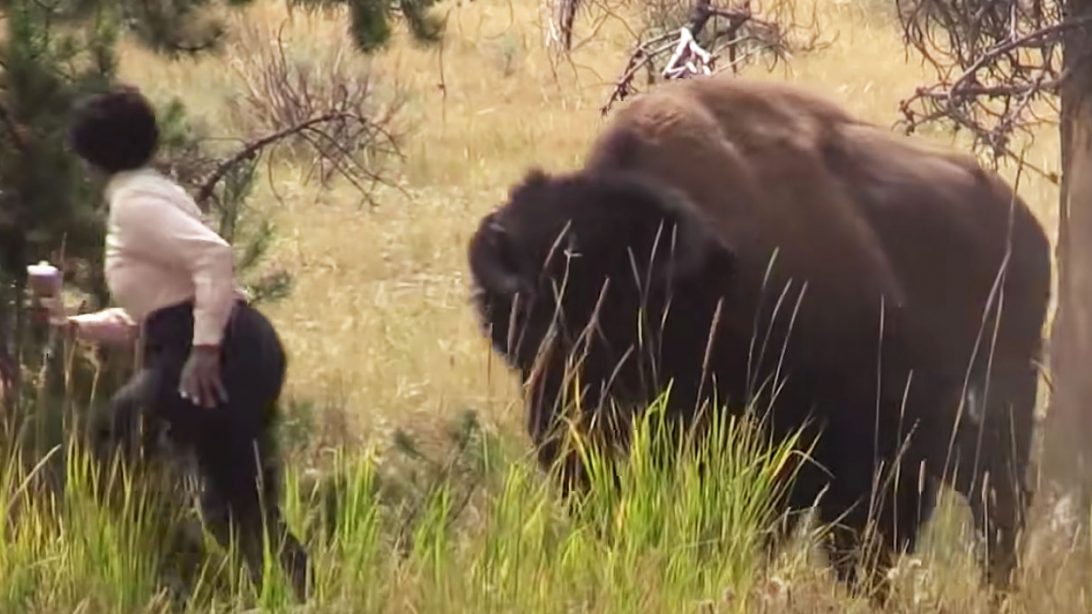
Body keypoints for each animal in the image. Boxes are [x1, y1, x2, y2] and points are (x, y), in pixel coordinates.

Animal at [467, 74, 1048, 594]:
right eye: (524, 325)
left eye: (621, 323)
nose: (564, 425)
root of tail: (1026, 228)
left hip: (989, 443)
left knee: (994, 525)